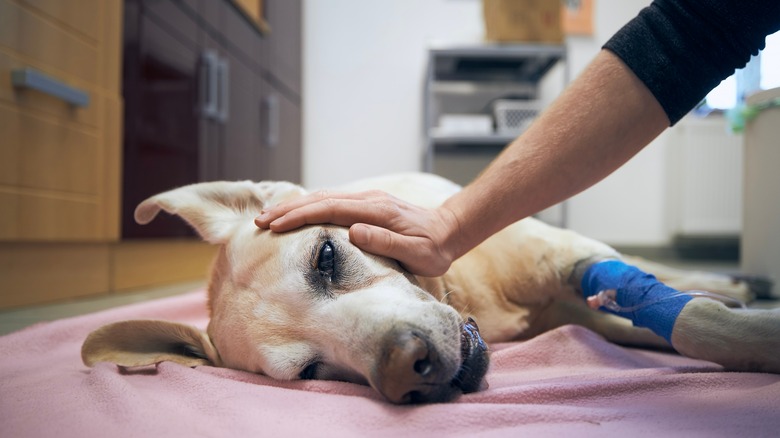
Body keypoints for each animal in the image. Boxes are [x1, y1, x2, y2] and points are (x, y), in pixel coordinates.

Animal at [82, 172, 780, 404]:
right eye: (311, 371)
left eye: (326, 257)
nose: (405, 368)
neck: (470, 299)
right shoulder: (586, 309)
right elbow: (681, 323)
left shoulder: (568, 257)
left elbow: (696, 321)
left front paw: (753, 326)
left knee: (657, 272)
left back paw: (734, 278)